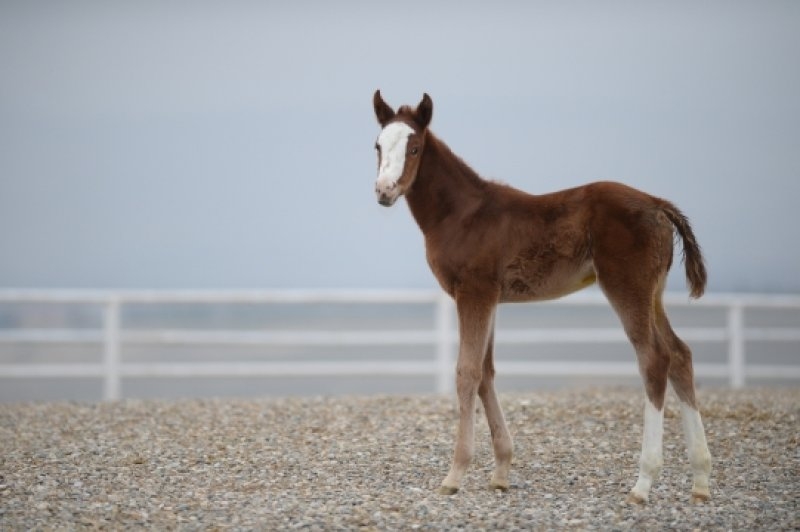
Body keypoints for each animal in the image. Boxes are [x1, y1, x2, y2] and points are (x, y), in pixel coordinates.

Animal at [370, 90, 712, 502]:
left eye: (415, 147)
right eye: (377, 146)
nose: (384, 191)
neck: (461, 214)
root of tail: (658, 204)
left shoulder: (473, 292)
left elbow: (467, 372)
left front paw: (455, 474)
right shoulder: (491, 297)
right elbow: (486, 372)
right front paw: (501, 470)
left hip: (627, 287)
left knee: (654, 359)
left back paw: (643, 482)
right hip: (653, 294)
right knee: (680, 355)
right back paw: (701, 480)